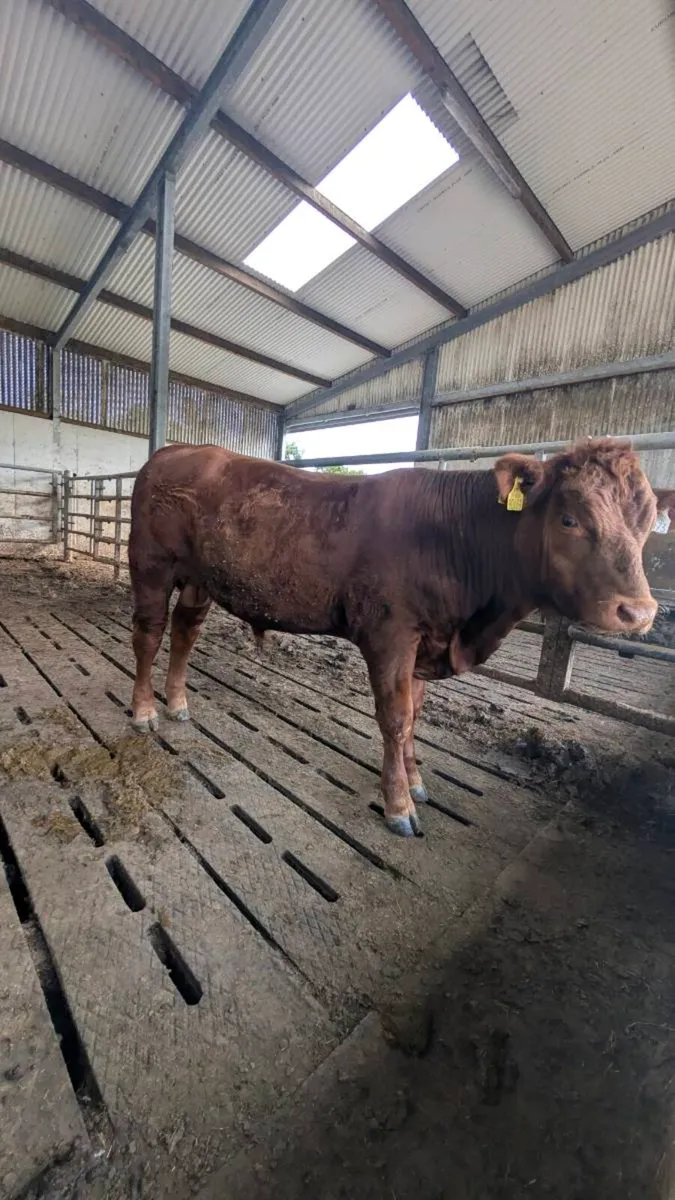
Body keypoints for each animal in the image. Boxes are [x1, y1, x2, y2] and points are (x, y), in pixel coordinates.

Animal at [128, 438, 674, 837]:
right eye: (569, 519)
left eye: (648, 522)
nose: (639, 611)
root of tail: (176, 449)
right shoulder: (390, 635)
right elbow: (394, 719)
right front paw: (398, 805)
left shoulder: (427, 644)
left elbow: (414, 717)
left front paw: (416, 782)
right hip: (152, 566)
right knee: (149, 636)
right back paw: (144, 711)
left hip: (200, 579)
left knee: (185, 632)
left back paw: (177, 702)